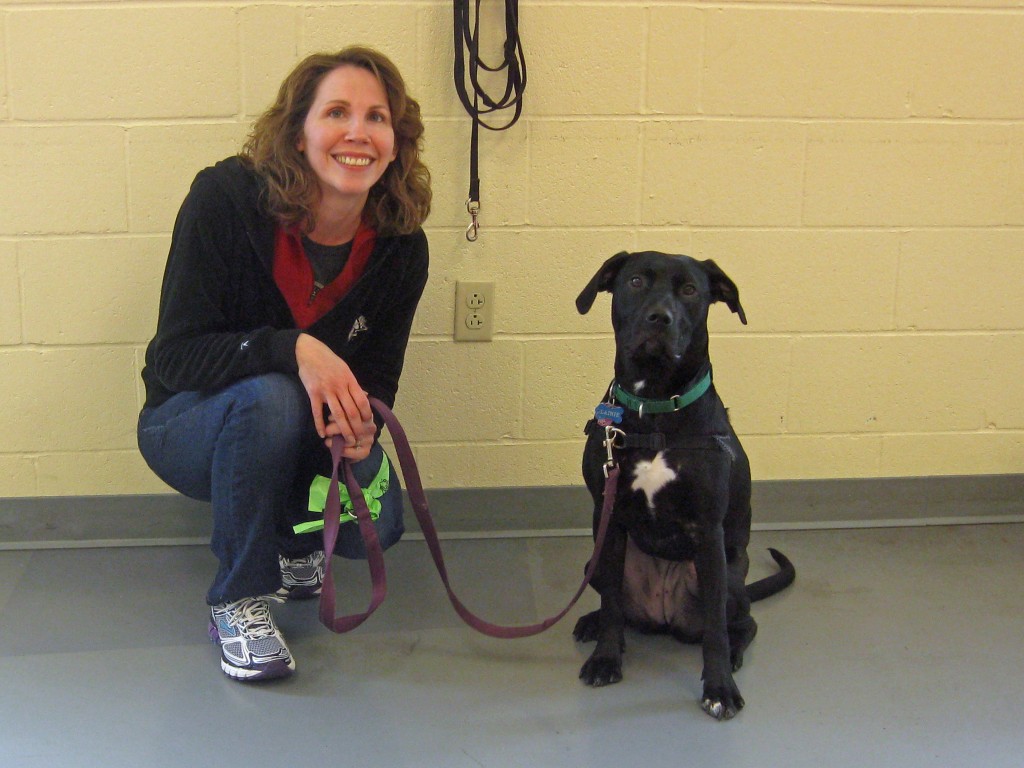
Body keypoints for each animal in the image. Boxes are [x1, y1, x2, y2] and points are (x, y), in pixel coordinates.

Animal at [573, 250, 794, 720]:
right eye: (636, 281)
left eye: (691, 290)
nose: (660, 317)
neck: (655, 406)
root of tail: (662, 618)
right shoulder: (608, 518)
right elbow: (613, 605)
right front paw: (605, 658)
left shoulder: (708, 531)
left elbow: (715, 630)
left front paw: (720, 688)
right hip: (593, 563)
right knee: (616, 607)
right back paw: (592, 623)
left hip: (729, 581)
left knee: (740, 623)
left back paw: (734, 654)